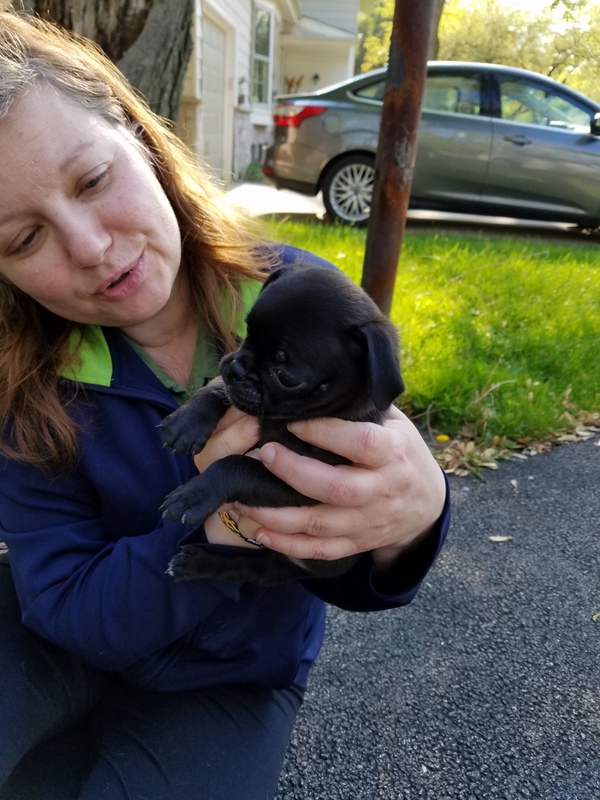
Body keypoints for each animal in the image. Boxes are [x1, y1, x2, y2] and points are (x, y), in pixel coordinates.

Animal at [160, 263, 404, 586]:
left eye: (285, 377)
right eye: (247, 333)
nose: (236, 368)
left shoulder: (302, 485)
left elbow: (237, 466)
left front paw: (193, 495)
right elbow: (216, 390)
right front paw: (186, 422)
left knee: (250, 569)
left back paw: (198, 564)